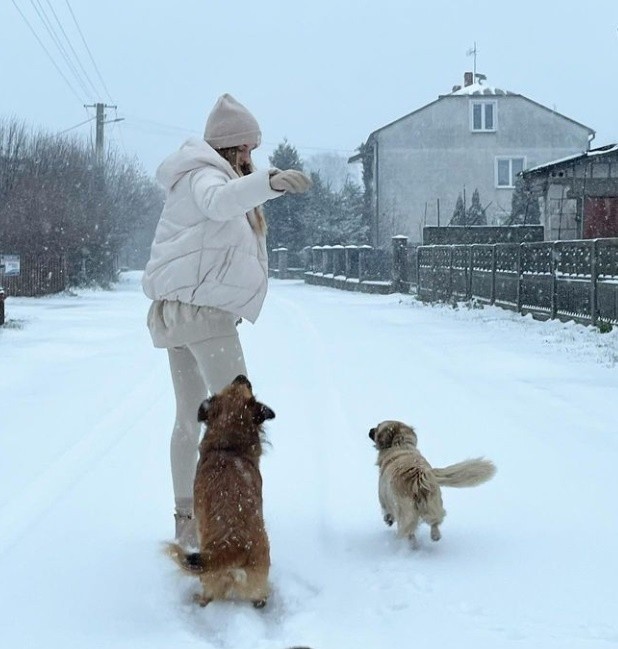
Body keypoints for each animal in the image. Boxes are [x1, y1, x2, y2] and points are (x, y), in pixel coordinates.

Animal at [165, 374, 274, 608]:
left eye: (244, 385)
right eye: (232, 384)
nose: (241, 376)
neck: (228, 447)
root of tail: (236, 545)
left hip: (208, 576)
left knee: (207, 594)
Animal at [368, 420, 494, 548]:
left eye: (377, 427)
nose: (370, 430)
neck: (400, 444)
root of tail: (419, 476)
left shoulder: (383, 497)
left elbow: (386, 511)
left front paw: (388, 520)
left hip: (406, 513)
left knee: (409, 531)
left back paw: (413, 545)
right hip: (434, 503)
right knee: (435, 522)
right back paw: (435, 536)